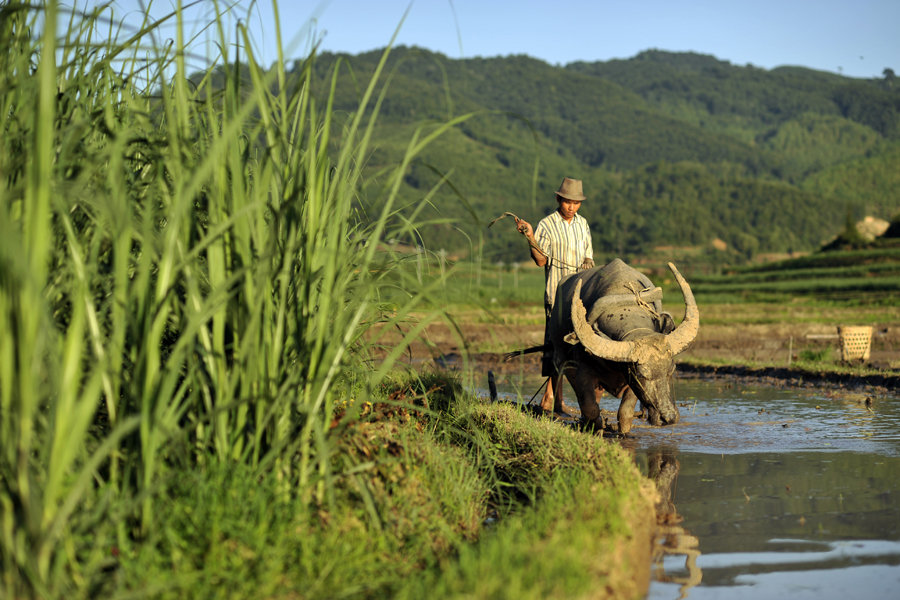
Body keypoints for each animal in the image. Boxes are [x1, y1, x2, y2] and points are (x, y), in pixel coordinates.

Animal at [544, 258, 700, 432]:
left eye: (671, 370)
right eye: (642, 375)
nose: (669, 418)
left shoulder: (630, 381)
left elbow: (625, 412)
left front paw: (623, 433)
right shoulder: (582, 371)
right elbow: (590, 408)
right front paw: (598, 427)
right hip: (560, 359)